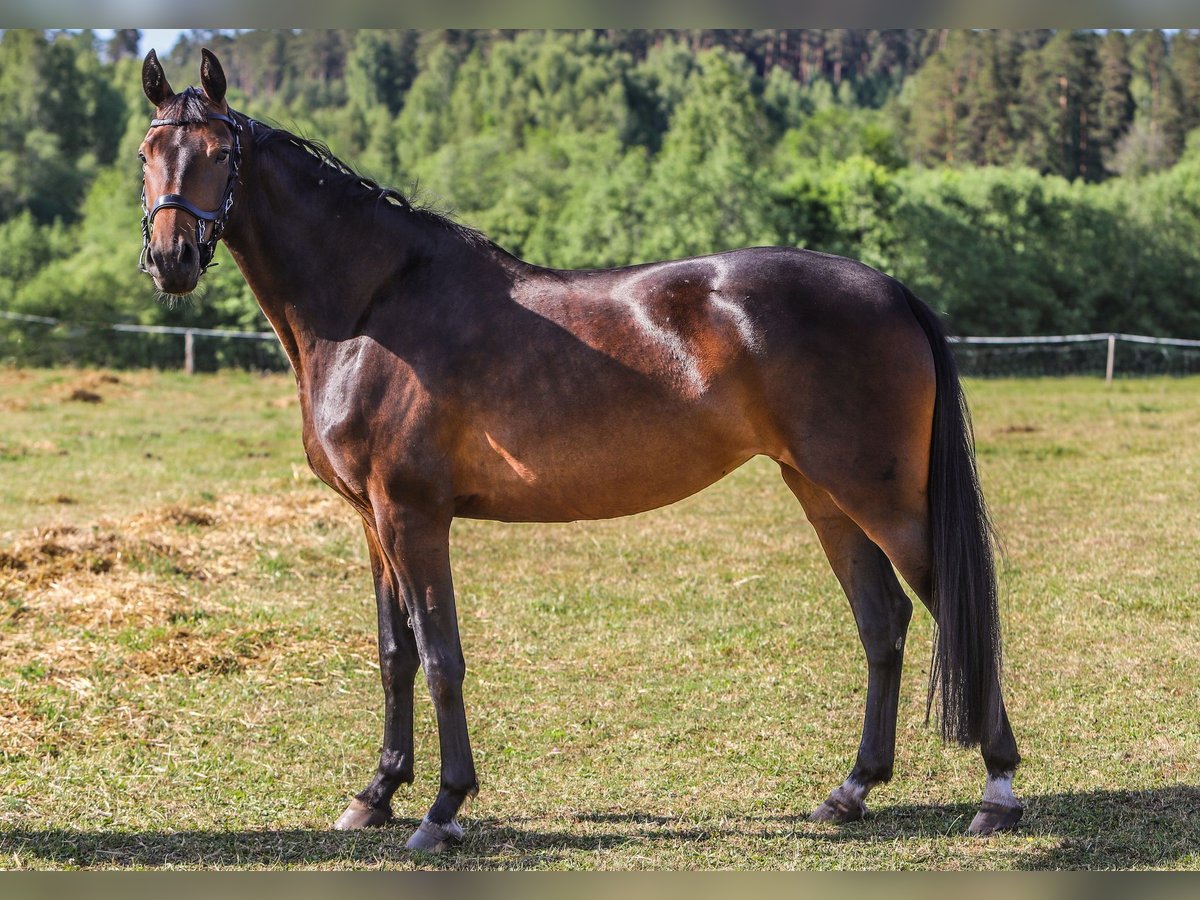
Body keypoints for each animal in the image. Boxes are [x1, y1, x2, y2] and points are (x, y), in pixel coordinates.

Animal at [138, 49, 1022, 854]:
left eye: (219, 154)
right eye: (148, 153)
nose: (170, 260)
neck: (374, 310)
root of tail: (891, 290)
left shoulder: (415, 517)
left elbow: (441, 657)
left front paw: (443, 809)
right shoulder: (373, 521)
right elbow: (395, 654)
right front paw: (377, 794)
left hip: (882, 498)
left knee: (952, 609)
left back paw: (998, 791)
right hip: (824, 494)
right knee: (883, 622)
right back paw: (851, 791)